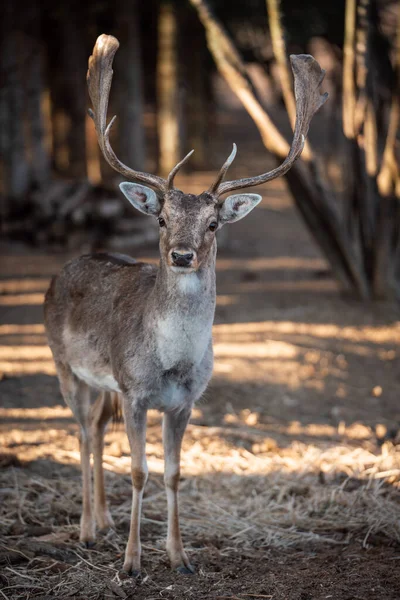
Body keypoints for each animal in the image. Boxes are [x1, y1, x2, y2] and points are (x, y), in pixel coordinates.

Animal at [43, 34, 326, 576]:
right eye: (161, 220)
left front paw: (180, 557)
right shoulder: (134, 392)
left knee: (96, 428)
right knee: (82, 433)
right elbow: (139, 471)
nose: (180, 254)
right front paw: (132, 564)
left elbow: (174, 473)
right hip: (66, 366)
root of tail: (63, 270)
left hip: (102, 383)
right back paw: (88, 529)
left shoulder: (185, 401)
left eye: (213, 224)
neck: (171, 363)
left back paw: (104, 522)